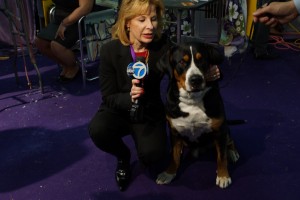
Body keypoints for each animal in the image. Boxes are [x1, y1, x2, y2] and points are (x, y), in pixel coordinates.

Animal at [157, 41, 239, 188]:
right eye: (182, 62)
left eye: (202, 60)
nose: (196, 79)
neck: (193, 100)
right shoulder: (174, 132)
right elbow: (174, 156)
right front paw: (169, 173)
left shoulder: (220, 130)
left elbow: (221, 157)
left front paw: (223, 175)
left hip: (225, 129)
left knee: (229, 141)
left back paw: (232, 152)